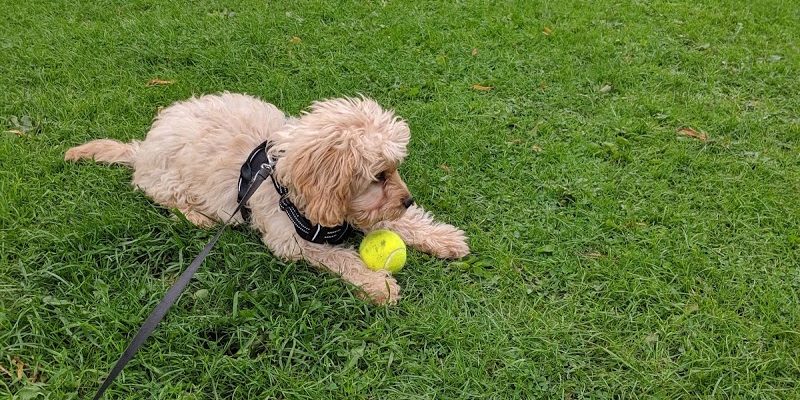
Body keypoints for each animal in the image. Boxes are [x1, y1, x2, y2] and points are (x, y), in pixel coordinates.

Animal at [67, 91, 476, 304]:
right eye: (378, 175)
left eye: (394, 168)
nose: (408, 200)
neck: (284, 179)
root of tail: (143, 148)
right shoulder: (291, 239)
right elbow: (342, 258)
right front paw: (379, 284)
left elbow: (391, 222)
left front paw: (443, 238)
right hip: (168, 182)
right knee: (165, 199)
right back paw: (198, 217)